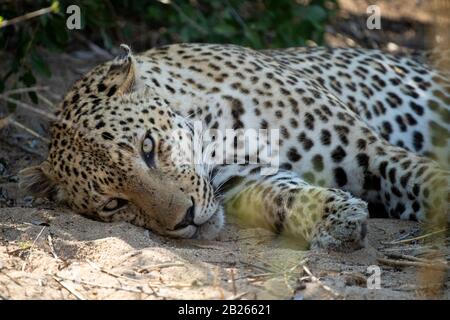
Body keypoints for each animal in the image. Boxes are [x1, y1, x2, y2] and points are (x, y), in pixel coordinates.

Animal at [18, 43, 450, 251]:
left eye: (148, 147)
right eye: (114, 204)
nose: (186, 219)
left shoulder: (368, 150)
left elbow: (420, 178)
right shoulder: (249, 182)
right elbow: (287, 197)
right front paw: (334, 218)